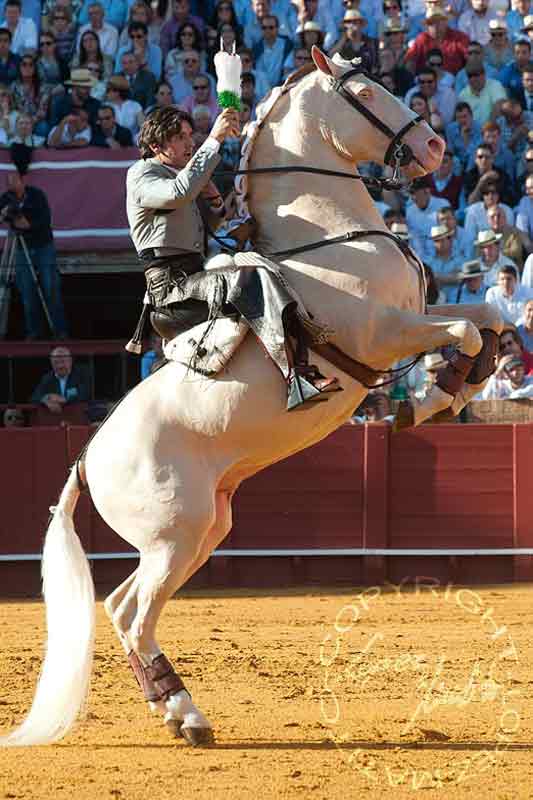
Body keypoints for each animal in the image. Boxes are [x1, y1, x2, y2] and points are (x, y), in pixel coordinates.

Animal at [0, 48, 500, 752]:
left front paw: (455, 387)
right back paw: (187, 714)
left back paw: (172, 708)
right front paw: (431, 398)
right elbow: (467, 330)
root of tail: (86, 458)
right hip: (175, 534)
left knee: (124, 606)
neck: (330, 237)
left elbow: (488, 318)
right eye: (365, 92)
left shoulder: (416, 316)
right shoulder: (382, 334)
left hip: (204, 530)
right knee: (133, 611)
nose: (434, 146)